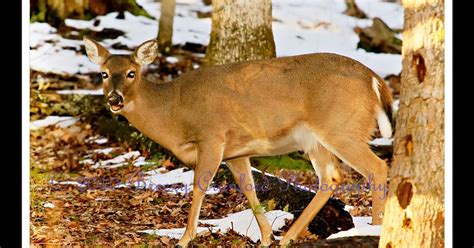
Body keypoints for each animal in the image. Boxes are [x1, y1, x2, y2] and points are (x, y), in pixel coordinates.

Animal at [84, 36, 392, 246]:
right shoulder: (236, 152)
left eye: (131, 73)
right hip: (317, 139)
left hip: (341, 128)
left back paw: (375, 229)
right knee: (331, 178)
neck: (174, 112)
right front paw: (267, 237)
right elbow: (249, 188)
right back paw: (288, 237)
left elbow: (199, 187)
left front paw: (184, 239)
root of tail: (375, 80)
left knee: (377, 168)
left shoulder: (211, 136)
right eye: (104, 74)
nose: (114, 99)